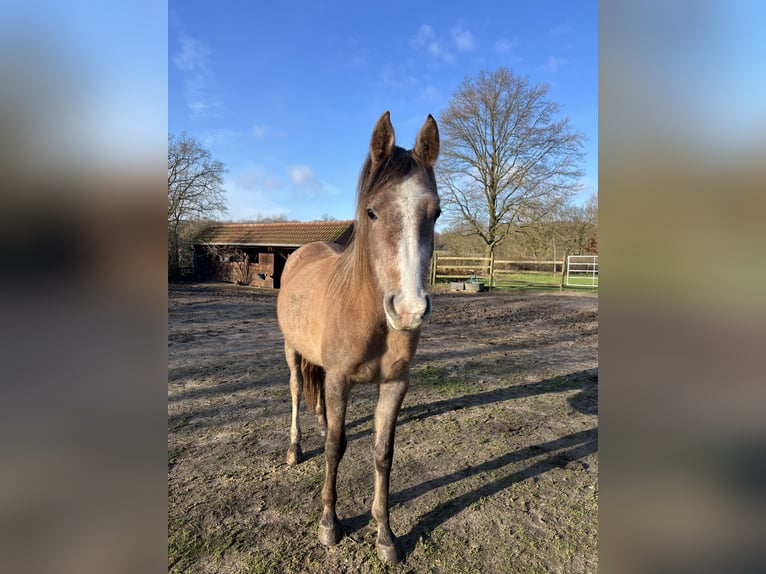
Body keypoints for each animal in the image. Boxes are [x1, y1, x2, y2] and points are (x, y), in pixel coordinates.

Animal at [276, 111, 440, 564]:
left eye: (436, 213)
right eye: (371, 212)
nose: (409, 310)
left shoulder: (395, 384)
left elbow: (383, 453)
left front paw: (385, 534)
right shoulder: (338, 379)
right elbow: (336, 446)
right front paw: (329, 523)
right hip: (291, 350)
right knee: (296, 390)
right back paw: (295, 448)